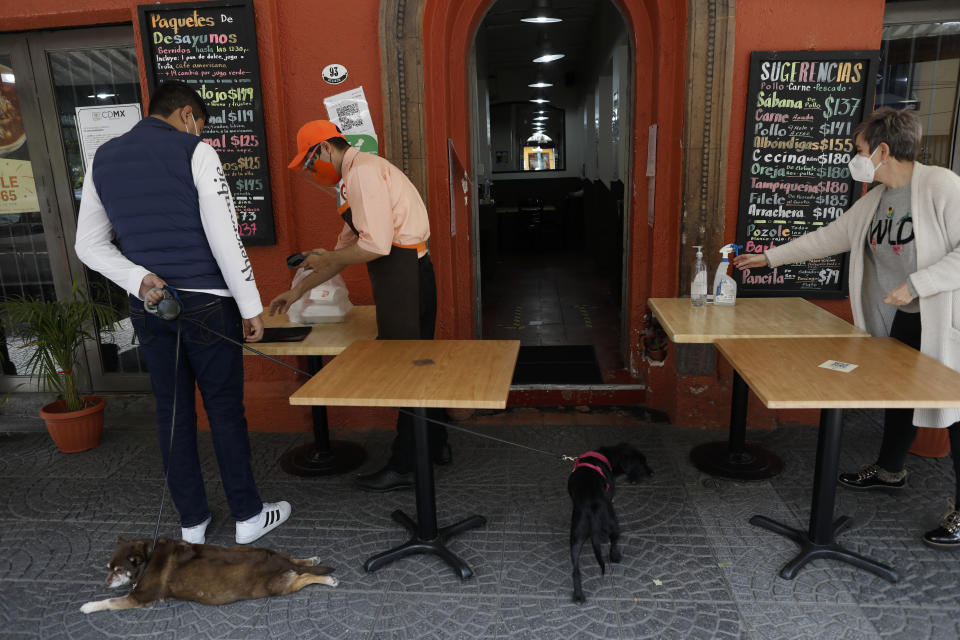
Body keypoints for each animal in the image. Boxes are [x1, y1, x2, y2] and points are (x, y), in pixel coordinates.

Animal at [80, 536, 340, 612]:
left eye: (118, 571)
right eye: (108, 568)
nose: (105, 583)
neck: (149, 557)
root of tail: (277, 561)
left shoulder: (138, 599)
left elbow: (109, 602)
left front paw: (88, 606)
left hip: (277, 587)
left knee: (305, 577)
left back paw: (328, 579)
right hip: (252, 550)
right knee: (294, 559)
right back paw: (311, 559)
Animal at [568, 442, 652, 604]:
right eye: (641, 462)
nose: (652, 473)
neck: (607, 455)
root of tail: (591, 506)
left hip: (576, 536)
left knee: (575, 570)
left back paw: (579, 596)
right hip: (613, 521)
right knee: (614, 541)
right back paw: (615, 556)